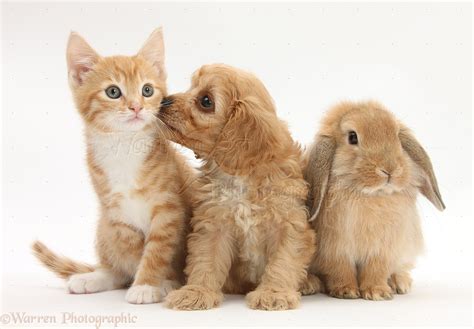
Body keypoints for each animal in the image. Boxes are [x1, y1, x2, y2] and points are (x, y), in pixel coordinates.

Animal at [32, 29, 193, 304]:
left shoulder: (169, 208)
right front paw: (148, 281)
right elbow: (135, 252)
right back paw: (94, 277)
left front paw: (151, 283)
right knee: (116, 267)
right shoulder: (116, 214)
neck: (124, 146)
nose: (137, 106)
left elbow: (158, 249)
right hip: (104, 227)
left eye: (147, 90)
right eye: (113, 92)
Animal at [158, 64, 318, 310]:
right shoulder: (213, 224)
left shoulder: (289, 225)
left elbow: (282, 262)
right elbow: (206, 260)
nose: (163, 101)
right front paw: (197, 292)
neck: (241, 177)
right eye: (191, 86)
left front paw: (274, 293)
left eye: (206, 101)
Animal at [306, 100, 446, 300]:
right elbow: (341, 270)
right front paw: (346, 291)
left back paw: (400, 283)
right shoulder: (335, 249)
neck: (371, 196)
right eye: (352, 137)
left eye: (396, 135)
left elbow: (377, 270)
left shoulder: (384, 249)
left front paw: (377, 292)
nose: (390, 169)